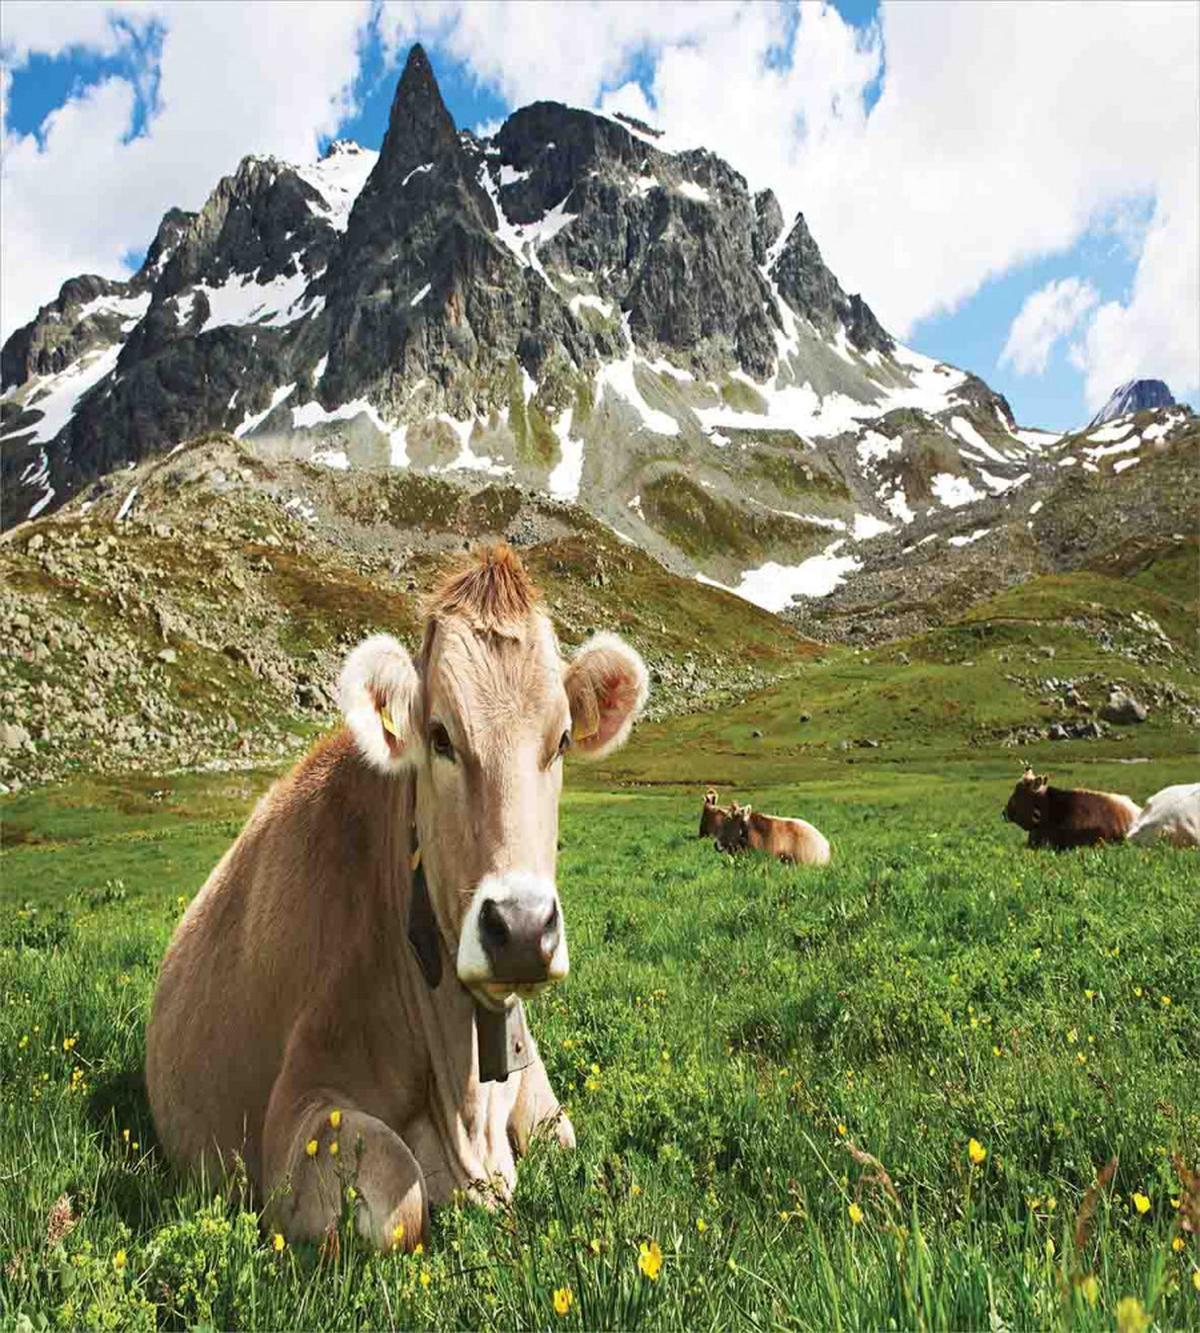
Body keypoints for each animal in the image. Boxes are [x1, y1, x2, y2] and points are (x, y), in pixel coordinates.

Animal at [145, 544, 648, 1251]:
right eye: (440, 737)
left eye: (562, 740)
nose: (522, 929)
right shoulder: (294, 1117)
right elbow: (400, 1195)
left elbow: (567, 1140)